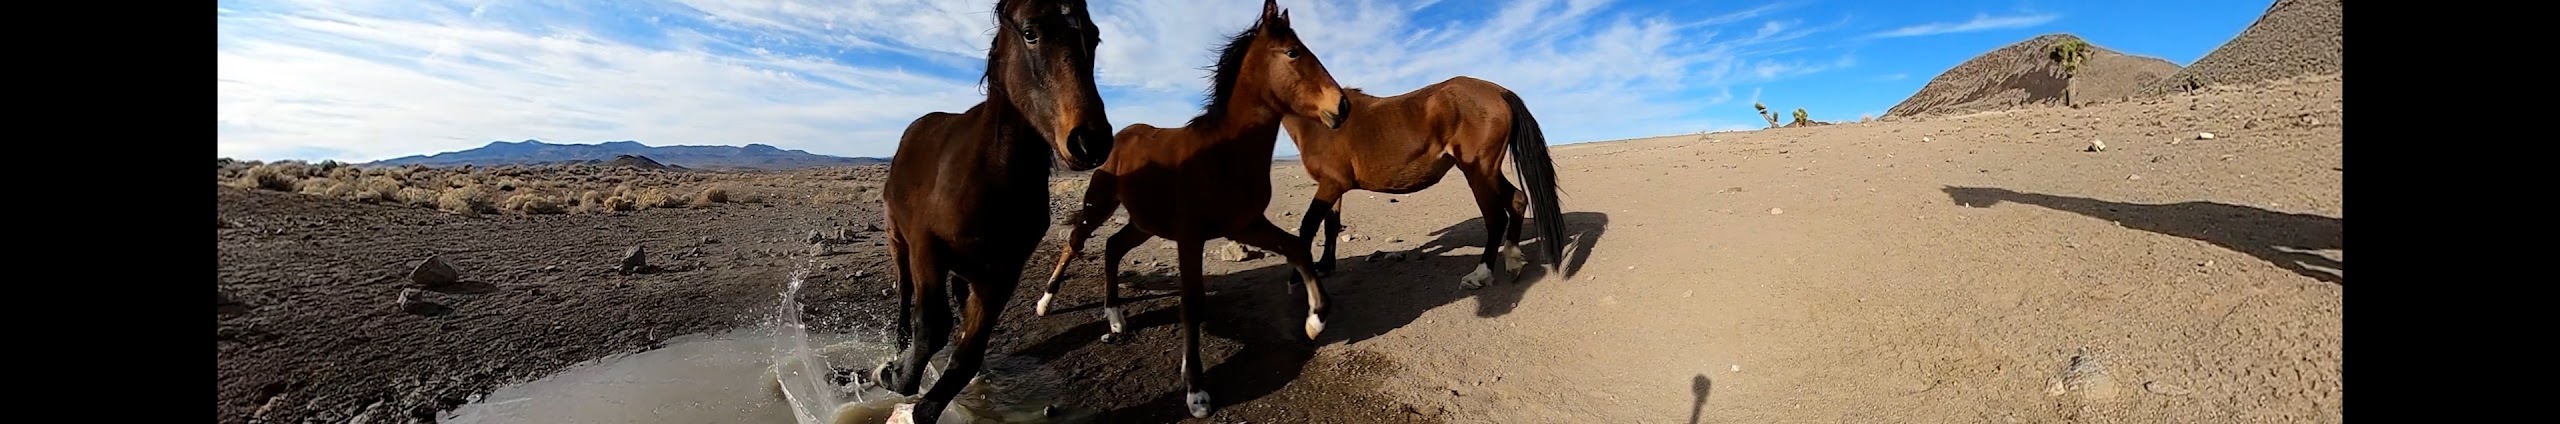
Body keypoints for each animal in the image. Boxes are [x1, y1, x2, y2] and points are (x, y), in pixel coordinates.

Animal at [867, 1, 1114, 423]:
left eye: (1094, 37)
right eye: (1030, 33)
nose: (1090, 140)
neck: (989, 175)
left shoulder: (1000, 276)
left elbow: (967, 353)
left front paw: (923, 401)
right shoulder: (926, 249)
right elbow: (930, 327)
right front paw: (893, 374)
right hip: (897, 239)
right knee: (904, 290)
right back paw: (898, 343)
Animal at [1033, 0, 1349, 418]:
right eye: (1294, 52)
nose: (1342, 106)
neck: (1224, 153)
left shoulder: (1246, 224)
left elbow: (1296, 246)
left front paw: (1316, 320)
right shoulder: (1190, 236)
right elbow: (1192, 303)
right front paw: (1196, 390)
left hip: (1143, 222)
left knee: (1113, 248)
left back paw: (1116, 319)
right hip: (1098, 205)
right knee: (1074, 243)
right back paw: (1045, 303)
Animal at [1275, 77, 1568, 290]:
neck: (1319, 121)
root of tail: (1500, 91)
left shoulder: (1330, 185)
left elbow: (1309, 225)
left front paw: (1298, 278)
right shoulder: (1332, 186)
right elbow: (1330, 225)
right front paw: (1325, 266)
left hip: (1478, 172)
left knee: (1496, 218)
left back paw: (1480, 274)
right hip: (1489, 172)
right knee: (1517, 199)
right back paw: (1514, 260)